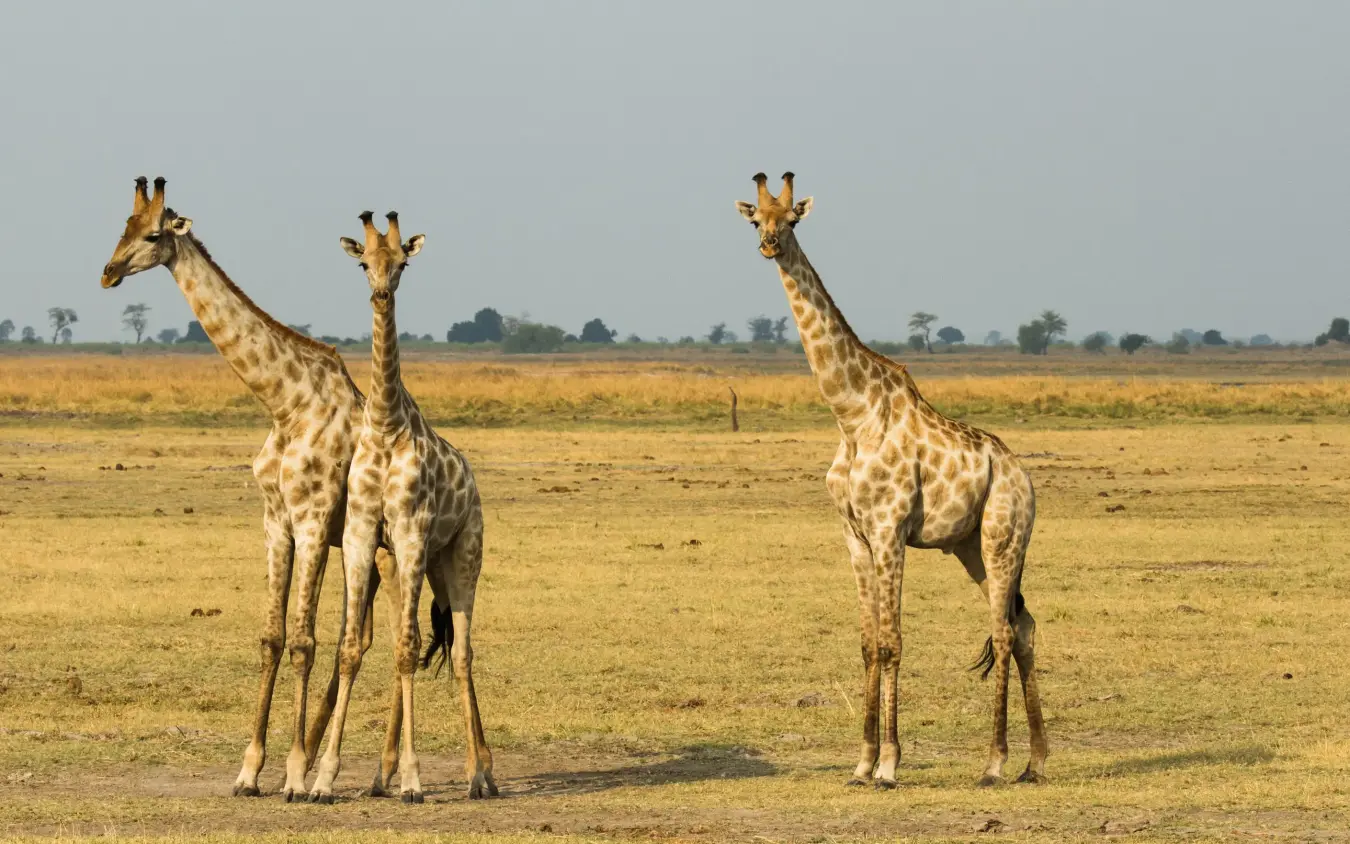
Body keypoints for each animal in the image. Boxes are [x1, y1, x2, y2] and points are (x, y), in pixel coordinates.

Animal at [98, 177, 408, 801]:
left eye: (152, 234)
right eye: (122, 226)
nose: (109, 271)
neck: (285, 402)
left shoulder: (312, 519)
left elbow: (304, 640)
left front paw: (293, 773)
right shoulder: (276, 522)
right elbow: (271, 638)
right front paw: (250, 771)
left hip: (385, 546)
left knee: (384, 637)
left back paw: (375, 771)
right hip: (368, 550)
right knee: (364, 636)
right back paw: (364, 769)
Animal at [308, 211, 496, 803]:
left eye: (404, 264)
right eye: (364, 263)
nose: (381, 293)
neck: (387, 423)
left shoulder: (411, 529)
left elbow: (411, 647)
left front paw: (413, 779)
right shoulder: (364, 531)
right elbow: (352, 646)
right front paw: (322, 779)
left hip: (462, 555)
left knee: (461, 654)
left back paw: (480, 776)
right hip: (419, 562)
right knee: (422, 645)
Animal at [733, 172, 1048, 789]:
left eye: (793, 219)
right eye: (757, 219)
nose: (769, 246)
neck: (851, 414)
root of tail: (1024, 478)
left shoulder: (889, 530)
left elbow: (892, 642)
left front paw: (889, 765)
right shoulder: (855, 536)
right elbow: (866, 643)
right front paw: (860, 762)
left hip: (1003, 538)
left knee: (1002, 632)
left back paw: (995, 763)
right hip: (969, 547)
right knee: (1020, 626)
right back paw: (1036, 760)